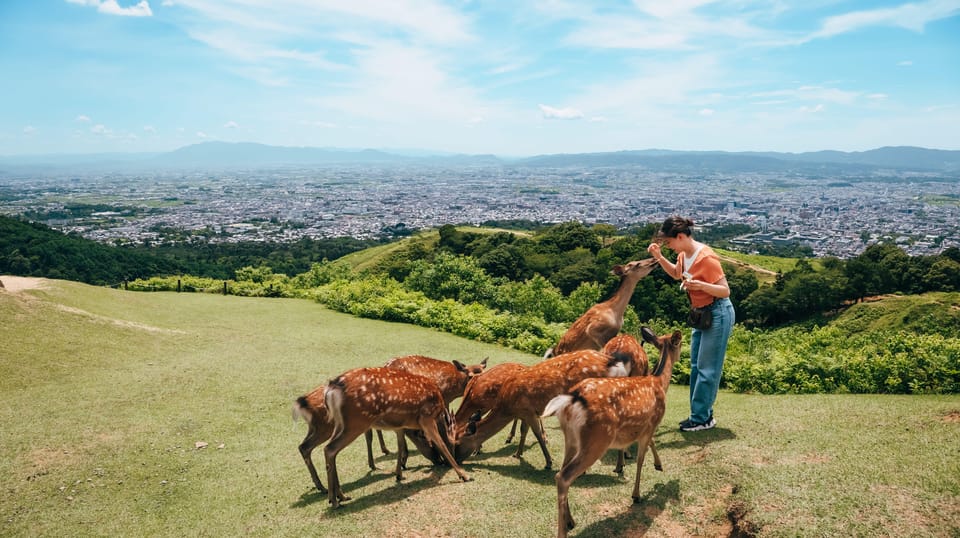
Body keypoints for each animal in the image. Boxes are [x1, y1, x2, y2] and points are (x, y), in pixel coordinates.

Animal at [322, 364, 472, 506]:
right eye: (454, 445)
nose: (441, 462)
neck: (439, 409)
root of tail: (331, 389)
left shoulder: (399, 425)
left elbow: (400, 446)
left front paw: (399, 475)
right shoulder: (426, 418)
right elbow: (440, 443)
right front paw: (464, 475)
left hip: (340, 423)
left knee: (330, 449)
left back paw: (341, 496)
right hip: (357, 421)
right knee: (330, 449)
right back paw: (333, 500)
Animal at [544, 324, 688, 532]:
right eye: (681, 344)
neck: (659, 382)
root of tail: (573, 399)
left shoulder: (642, 427)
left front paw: (654, 465)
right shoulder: (652, 423)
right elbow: (640, 459)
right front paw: (637, 494)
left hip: (571, 438)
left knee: (561, 472)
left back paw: (570, 520)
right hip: (597, 440)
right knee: (564, 477)